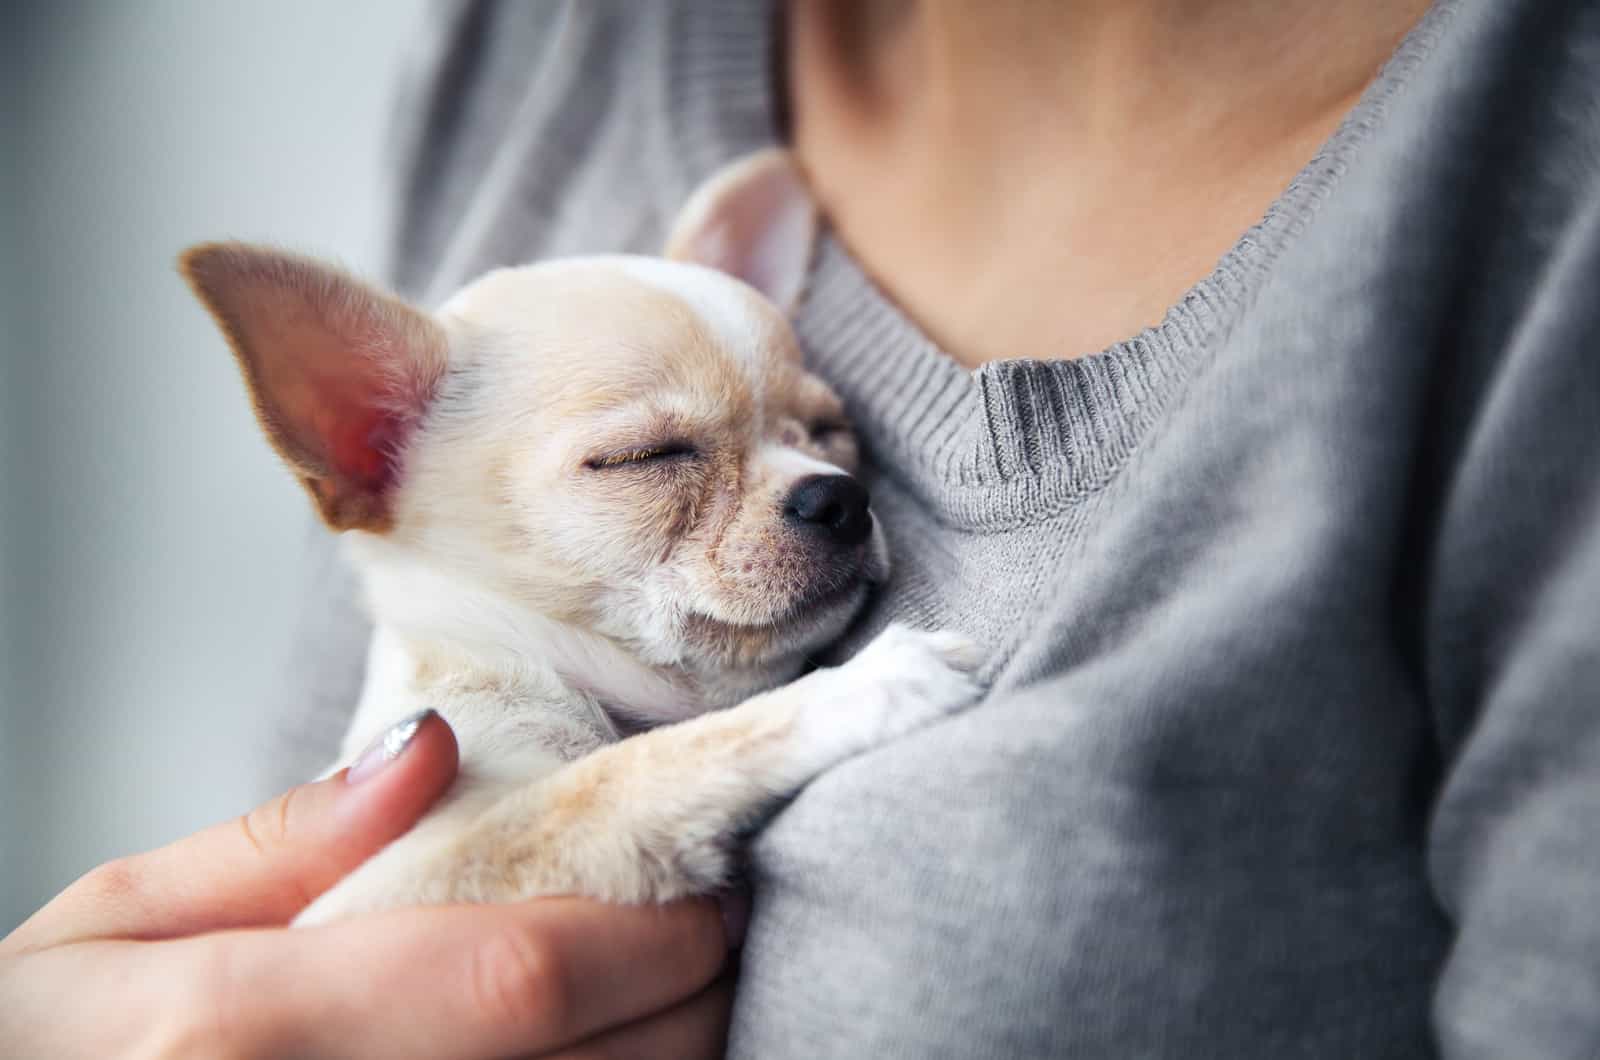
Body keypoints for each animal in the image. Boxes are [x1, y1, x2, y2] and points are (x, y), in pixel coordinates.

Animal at [175, 151, 972, 928]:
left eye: (832, 433)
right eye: (647, 457)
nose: (839, 497)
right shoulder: (400, 875)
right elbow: (625, 770)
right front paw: (862, 686)